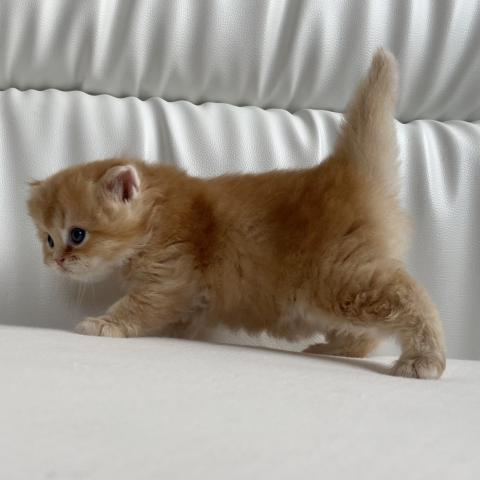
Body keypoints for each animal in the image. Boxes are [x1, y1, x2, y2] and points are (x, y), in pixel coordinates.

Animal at [27, 50, 445, 379]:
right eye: (48, 240)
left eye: (77, 234)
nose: (56, 261)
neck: (157, 214)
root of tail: (348, 170)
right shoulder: (188, 298)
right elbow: (177, 321)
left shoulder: (171, 277)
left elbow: (138, 306)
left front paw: (103, 323)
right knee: (367, 332)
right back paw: (337, 349)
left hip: (341, 279)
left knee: (409, 295)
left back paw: (424, 359)